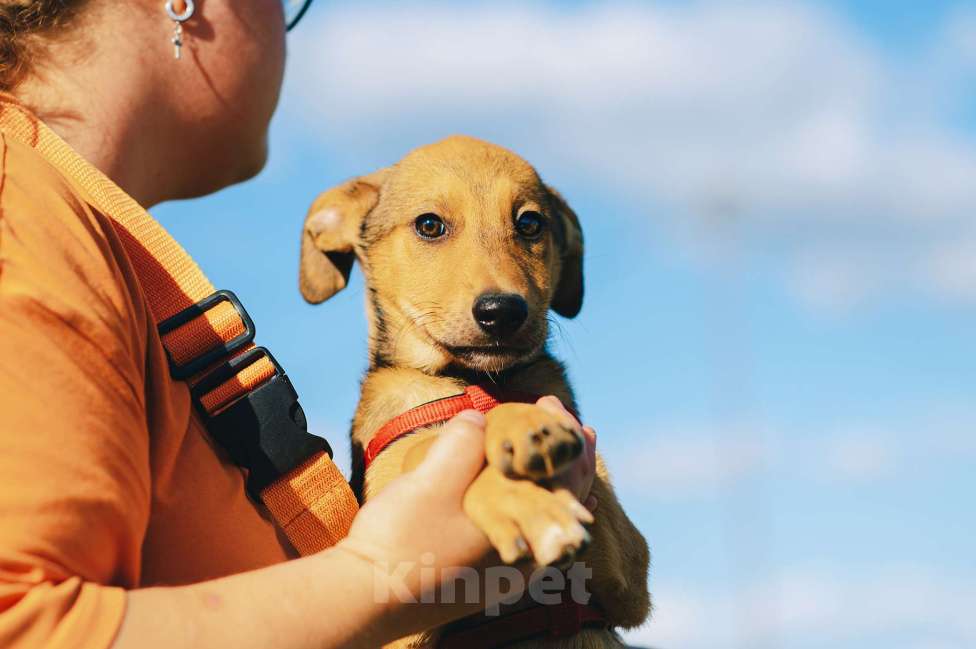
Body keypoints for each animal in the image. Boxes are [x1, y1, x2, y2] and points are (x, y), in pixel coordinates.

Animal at [298, 134, 648, 644]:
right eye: (429, 225)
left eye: (530, 223)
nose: (502, 311)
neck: (476, 382)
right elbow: (428, 445)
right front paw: (516, 494)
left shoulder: (632, 573)